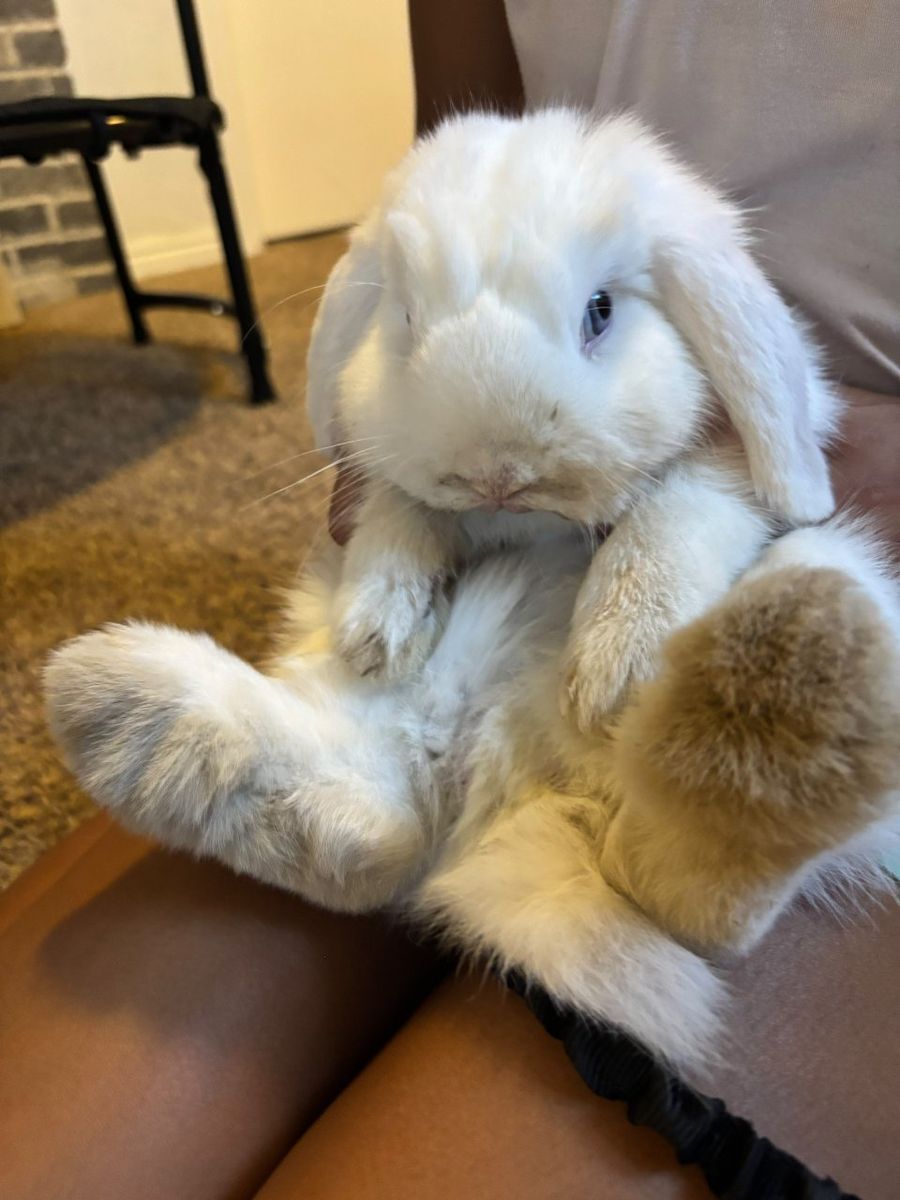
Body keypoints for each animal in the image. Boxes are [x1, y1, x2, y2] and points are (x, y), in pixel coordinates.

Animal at [306, 109, 842, 731]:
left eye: (600, 311)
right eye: (408, 318)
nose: (498, 477)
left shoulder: (725, 468)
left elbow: (671, 518)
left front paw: (616, 672)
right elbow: (398, 506)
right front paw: (375, 630)